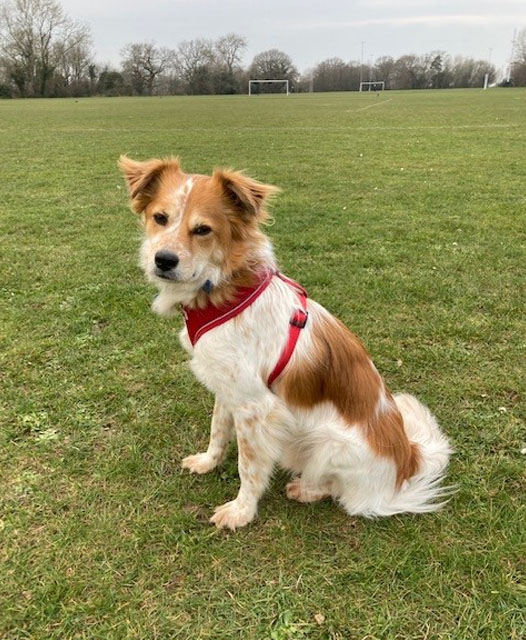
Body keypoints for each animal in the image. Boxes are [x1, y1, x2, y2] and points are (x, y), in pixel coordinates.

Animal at [119, 155, 454, 528]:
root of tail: (406, 462)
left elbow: (248, 466)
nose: (163, 259)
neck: (224, 287)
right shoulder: (228, 387)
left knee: (344, 495)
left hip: (325, 441)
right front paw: (208, 462)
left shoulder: (256, 407)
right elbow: (217, 430)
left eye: (203, 229)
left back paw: (306, 489)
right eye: (160, 218)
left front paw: (241, 511)